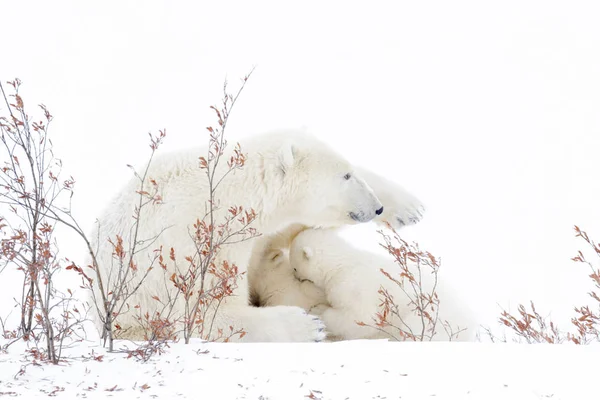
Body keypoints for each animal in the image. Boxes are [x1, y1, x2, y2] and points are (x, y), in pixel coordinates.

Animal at [90, 130, 426, 342]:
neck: (229, 193)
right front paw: (308, 326)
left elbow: (293, 227)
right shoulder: (194, 248)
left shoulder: (259, 230)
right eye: (344, 175)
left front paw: (408, 207)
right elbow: (208, 314)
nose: (376, 207)